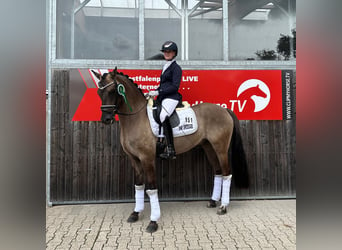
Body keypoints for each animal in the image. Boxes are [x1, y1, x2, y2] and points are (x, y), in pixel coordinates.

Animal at [92, 67, 250, 232]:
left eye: (112, 91)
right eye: (99, 92)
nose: (106, 119)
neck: (136, 118)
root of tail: (224, 110)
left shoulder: (147, 158)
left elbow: (151, 188)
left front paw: (153, 221)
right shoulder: (134, 159)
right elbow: (139, 186)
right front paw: (135, 213)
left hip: (221, 148)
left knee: (226, 174)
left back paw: (223, 206)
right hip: (209, 147)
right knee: (218, 172)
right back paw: (213, 202)